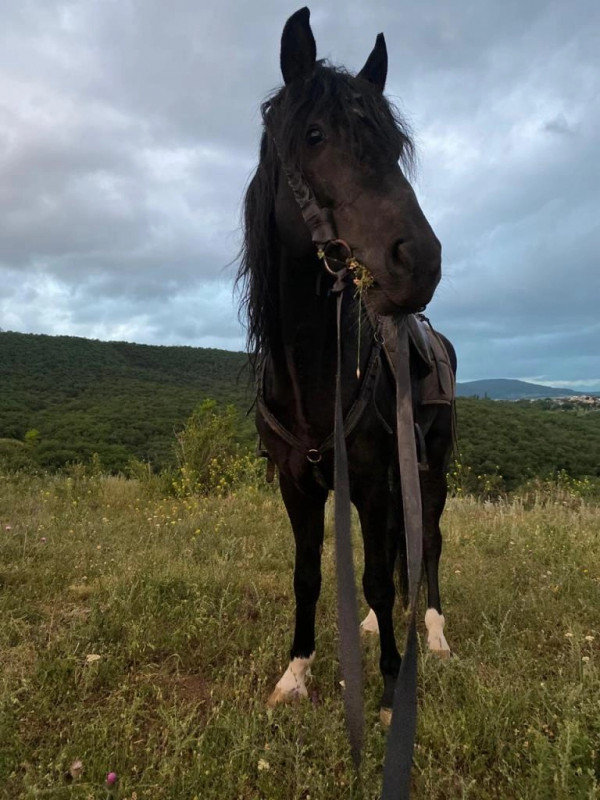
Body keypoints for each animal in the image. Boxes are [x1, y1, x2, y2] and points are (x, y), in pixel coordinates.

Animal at [237, 6, 456, 729]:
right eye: (314, 135)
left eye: (394, 145)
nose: (420, 262)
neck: (315, 380)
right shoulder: (297, 485)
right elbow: (309, 574)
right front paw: (295, 674)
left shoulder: (372, 479)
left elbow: (381, 576)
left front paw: (389, 691)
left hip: (431, 469)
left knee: (428, 543)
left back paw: (434, 635)